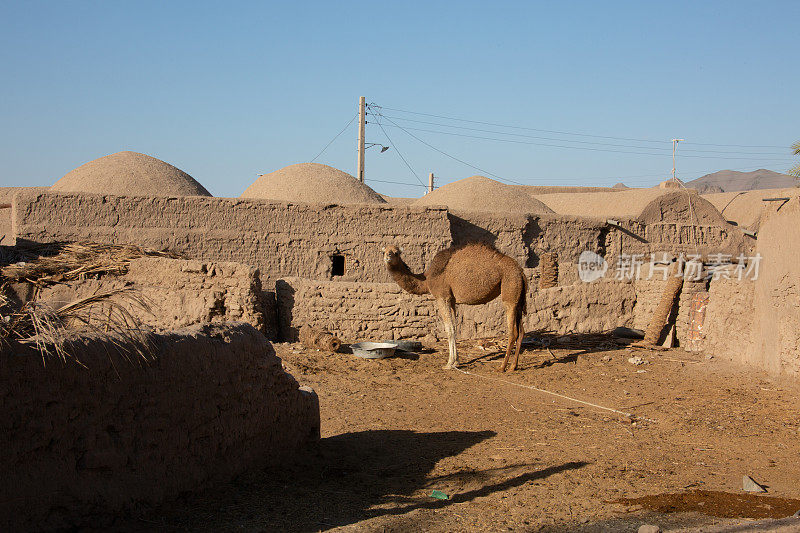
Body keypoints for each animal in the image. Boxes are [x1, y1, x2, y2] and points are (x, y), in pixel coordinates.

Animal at [384, 241, 528, 370]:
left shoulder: (442, 297)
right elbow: (454, 328)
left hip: (509, 290)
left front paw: (449, 364)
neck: (427, 279)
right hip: (518, 298)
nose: (388, 257)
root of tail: (521, 272)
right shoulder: (452, 300)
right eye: (384, 251)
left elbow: (449, 330)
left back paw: (502, 367)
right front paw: (456, 362)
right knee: (521, 331)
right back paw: (513, 366)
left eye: (396, 253)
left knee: (513, 332)